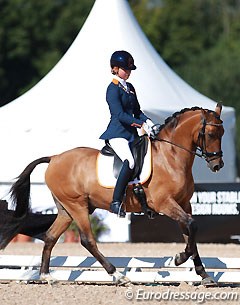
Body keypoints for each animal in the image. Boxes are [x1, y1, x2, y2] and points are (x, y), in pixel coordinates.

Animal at [0, 103, 225, 284]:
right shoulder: (164, 203)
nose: (217, 165)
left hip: (66, 209)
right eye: (211, 134)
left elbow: (190, 232)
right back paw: (117, 275)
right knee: (87, 240)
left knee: (50, 237)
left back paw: (46, 276)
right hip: (78, 206)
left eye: (222, 133)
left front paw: (203, 273)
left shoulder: (184, 204)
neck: (171, 157)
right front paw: (179, 258)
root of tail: (54, 157)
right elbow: (191, 227)